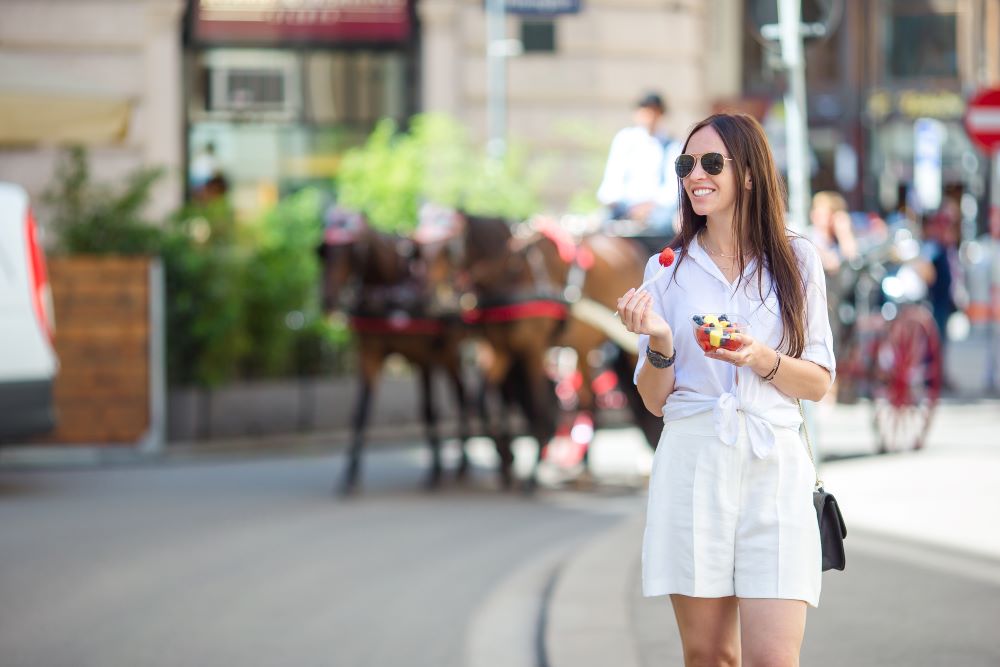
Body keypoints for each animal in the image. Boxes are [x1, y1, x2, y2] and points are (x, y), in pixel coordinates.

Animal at [320, 207, 476, 496]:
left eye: (353, 252)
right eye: (322, 251)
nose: (327, 301)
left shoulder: (425, 356)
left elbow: (429, 409)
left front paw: (435, 471)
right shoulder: (369, 354)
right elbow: (360, 412)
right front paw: (350, 475)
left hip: (449, 350)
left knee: (463, 396)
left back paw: (460, 464)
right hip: (449, 354)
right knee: (462, 394)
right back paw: (461, 464)